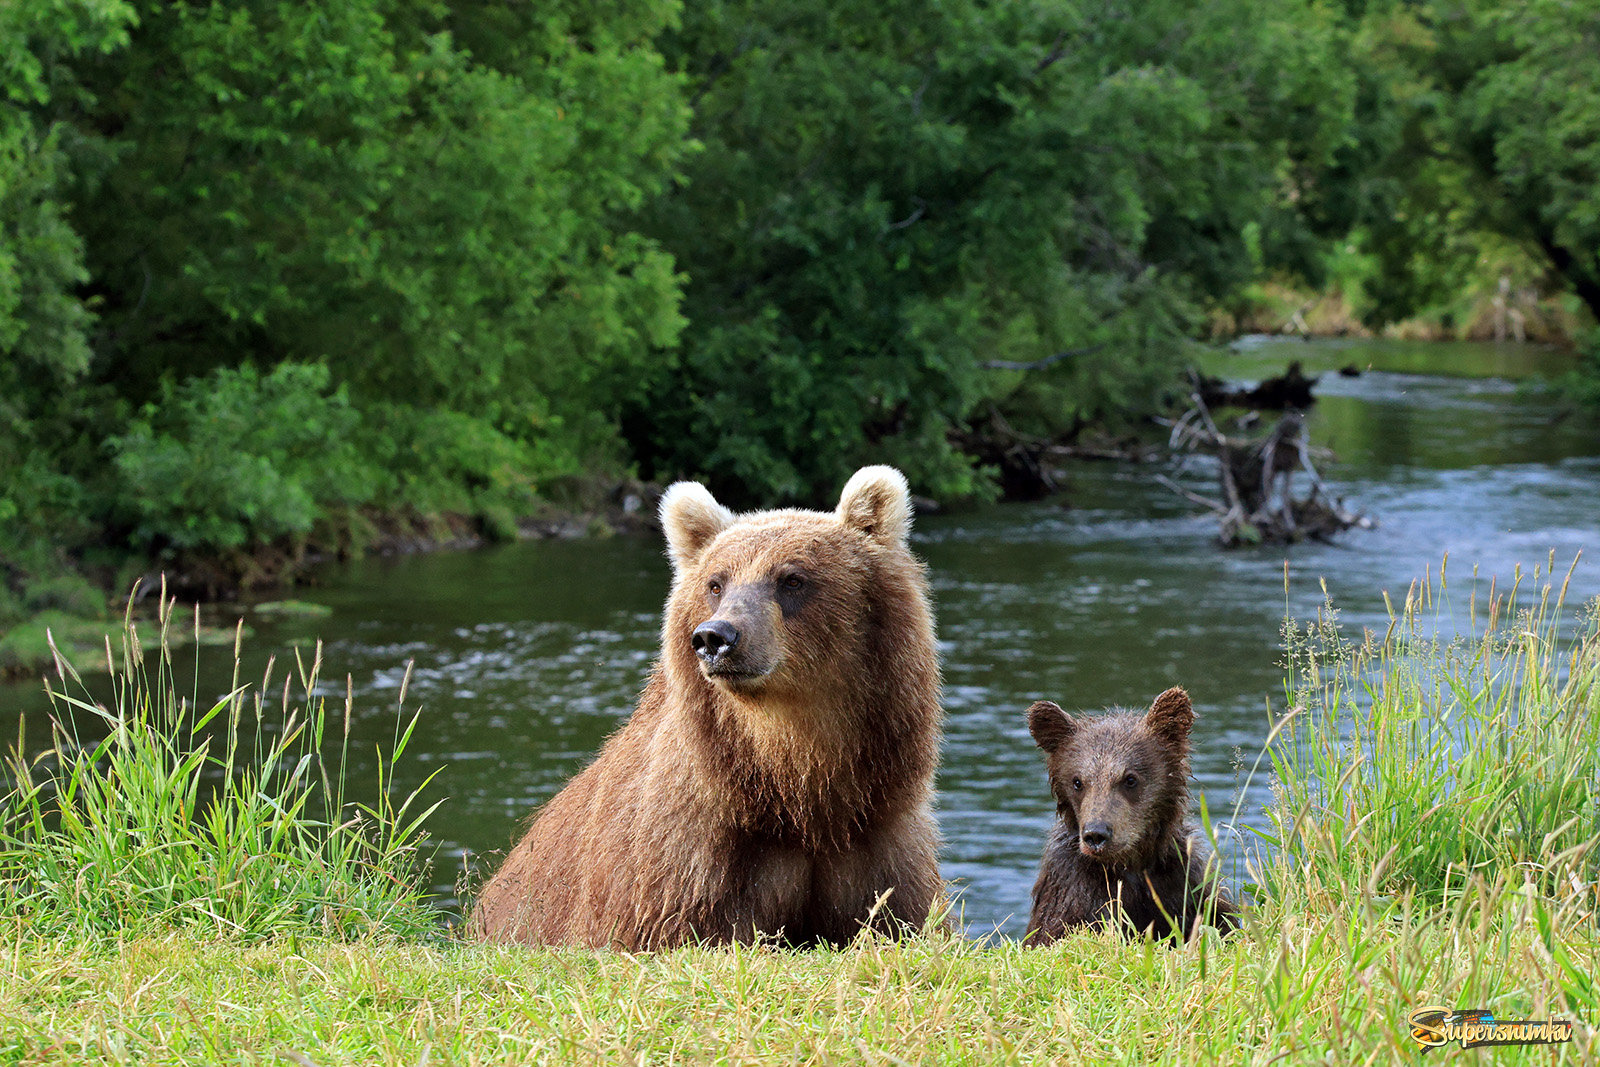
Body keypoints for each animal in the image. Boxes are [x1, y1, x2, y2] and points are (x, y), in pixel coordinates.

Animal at [467, 463, 940, 947]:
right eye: (716, 582)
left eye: (792, 578)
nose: (716, 637)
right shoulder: (683, 866)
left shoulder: (877, 845)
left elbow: (891, 915)